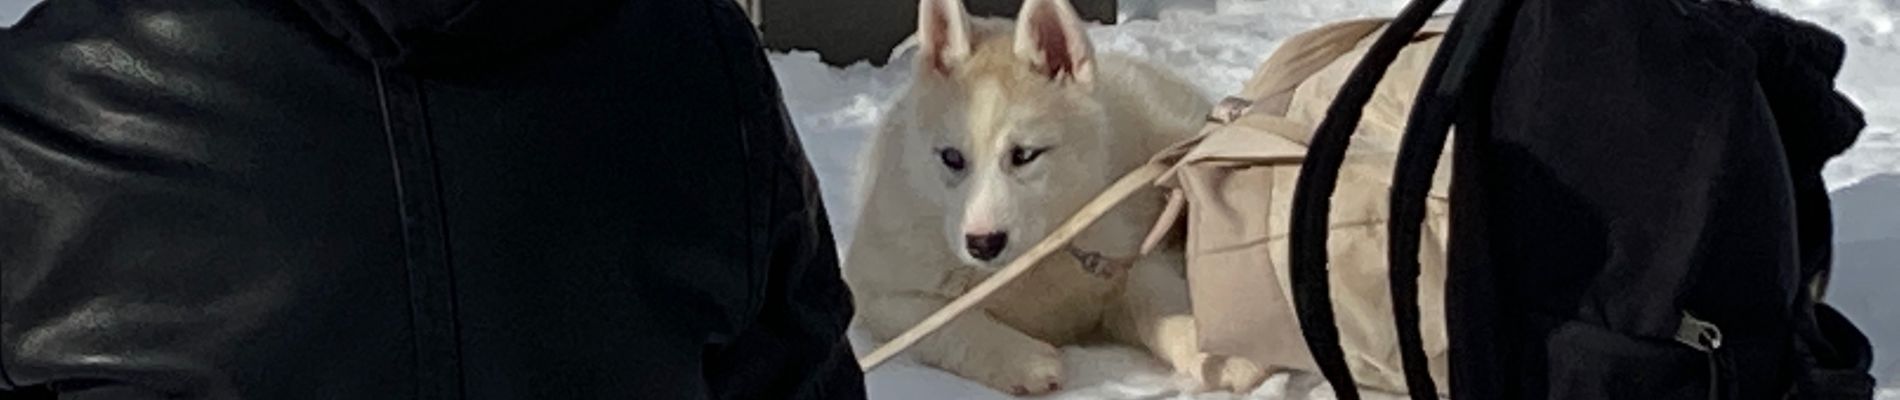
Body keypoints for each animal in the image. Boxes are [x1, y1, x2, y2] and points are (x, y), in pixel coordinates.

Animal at [843, 0, 1261, 396]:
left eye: (1024, 154)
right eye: (952, 158)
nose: (983, 244)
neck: (1032, 261)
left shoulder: (1128, 251)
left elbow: (1153, 291)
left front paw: (1216, 348)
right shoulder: (876, 291)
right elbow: (940, 322)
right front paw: (1019, 359)